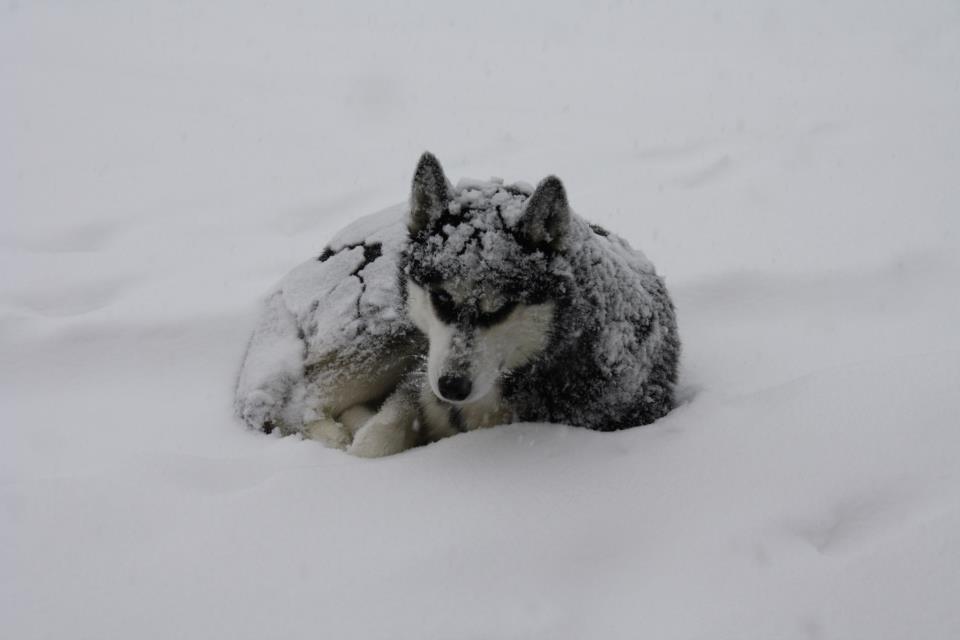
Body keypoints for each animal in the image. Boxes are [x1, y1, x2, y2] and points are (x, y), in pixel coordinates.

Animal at [235, 152, 680, 458]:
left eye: (500, 308)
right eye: (442, 298)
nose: (451, 386)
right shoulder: (417, 382)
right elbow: (372, 443)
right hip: (392, 333)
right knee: (300, 401)